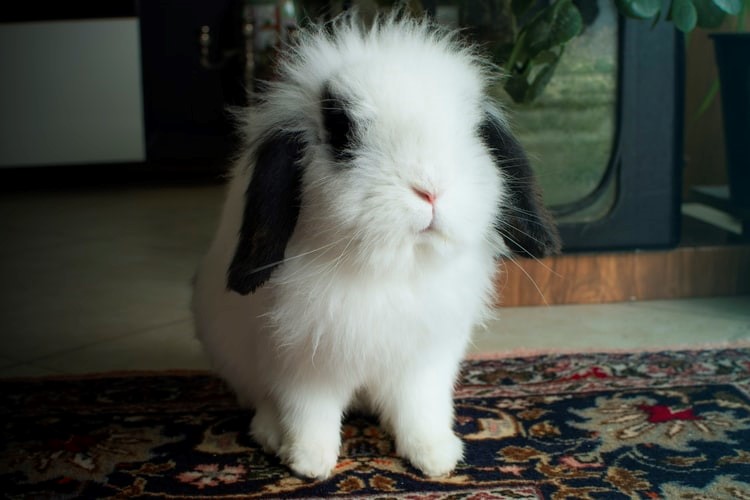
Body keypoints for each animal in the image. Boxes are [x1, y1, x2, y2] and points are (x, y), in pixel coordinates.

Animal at [192, 11, 560, 480]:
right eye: (342, 134)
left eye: (473, 132)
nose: (430, 188)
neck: (394, 270)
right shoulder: (302, 364)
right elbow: (309, 413)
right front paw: (310, 464)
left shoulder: (425, 363)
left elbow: (421, 410)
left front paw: (437, 457)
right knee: (264, 401)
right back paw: (272, 436)